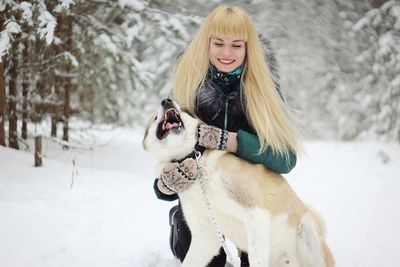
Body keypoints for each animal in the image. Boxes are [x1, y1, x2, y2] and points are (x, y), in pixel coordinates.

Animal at [144, 99, 334, 267]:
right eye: (154, 117)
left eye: (182, 111)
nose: (166, 101)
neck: (195, 163)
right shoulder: (206, 235)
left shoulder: (256, 213)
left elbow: (256, 260)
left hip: (307, 228)